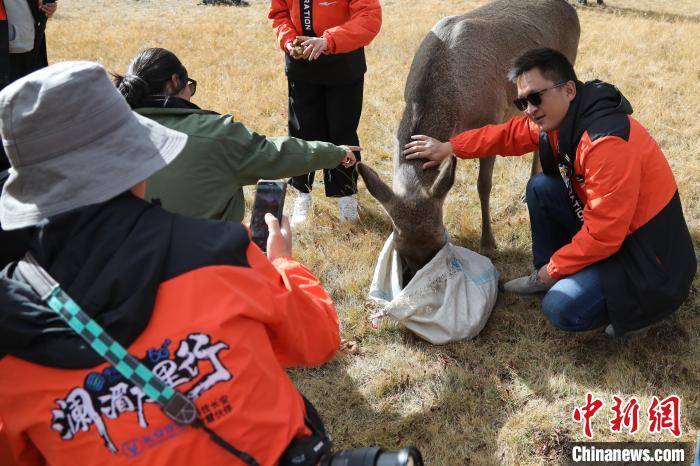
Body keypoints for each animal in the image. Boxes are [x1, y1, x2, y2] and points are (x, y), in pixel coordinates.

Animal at [357, 0, 580, 281]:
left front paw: (488, 243)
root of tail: (571, 9)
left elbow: (483, 185)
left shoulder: (492, 117)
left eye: (439, 240)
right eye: (399, 246)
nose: (417, 276)